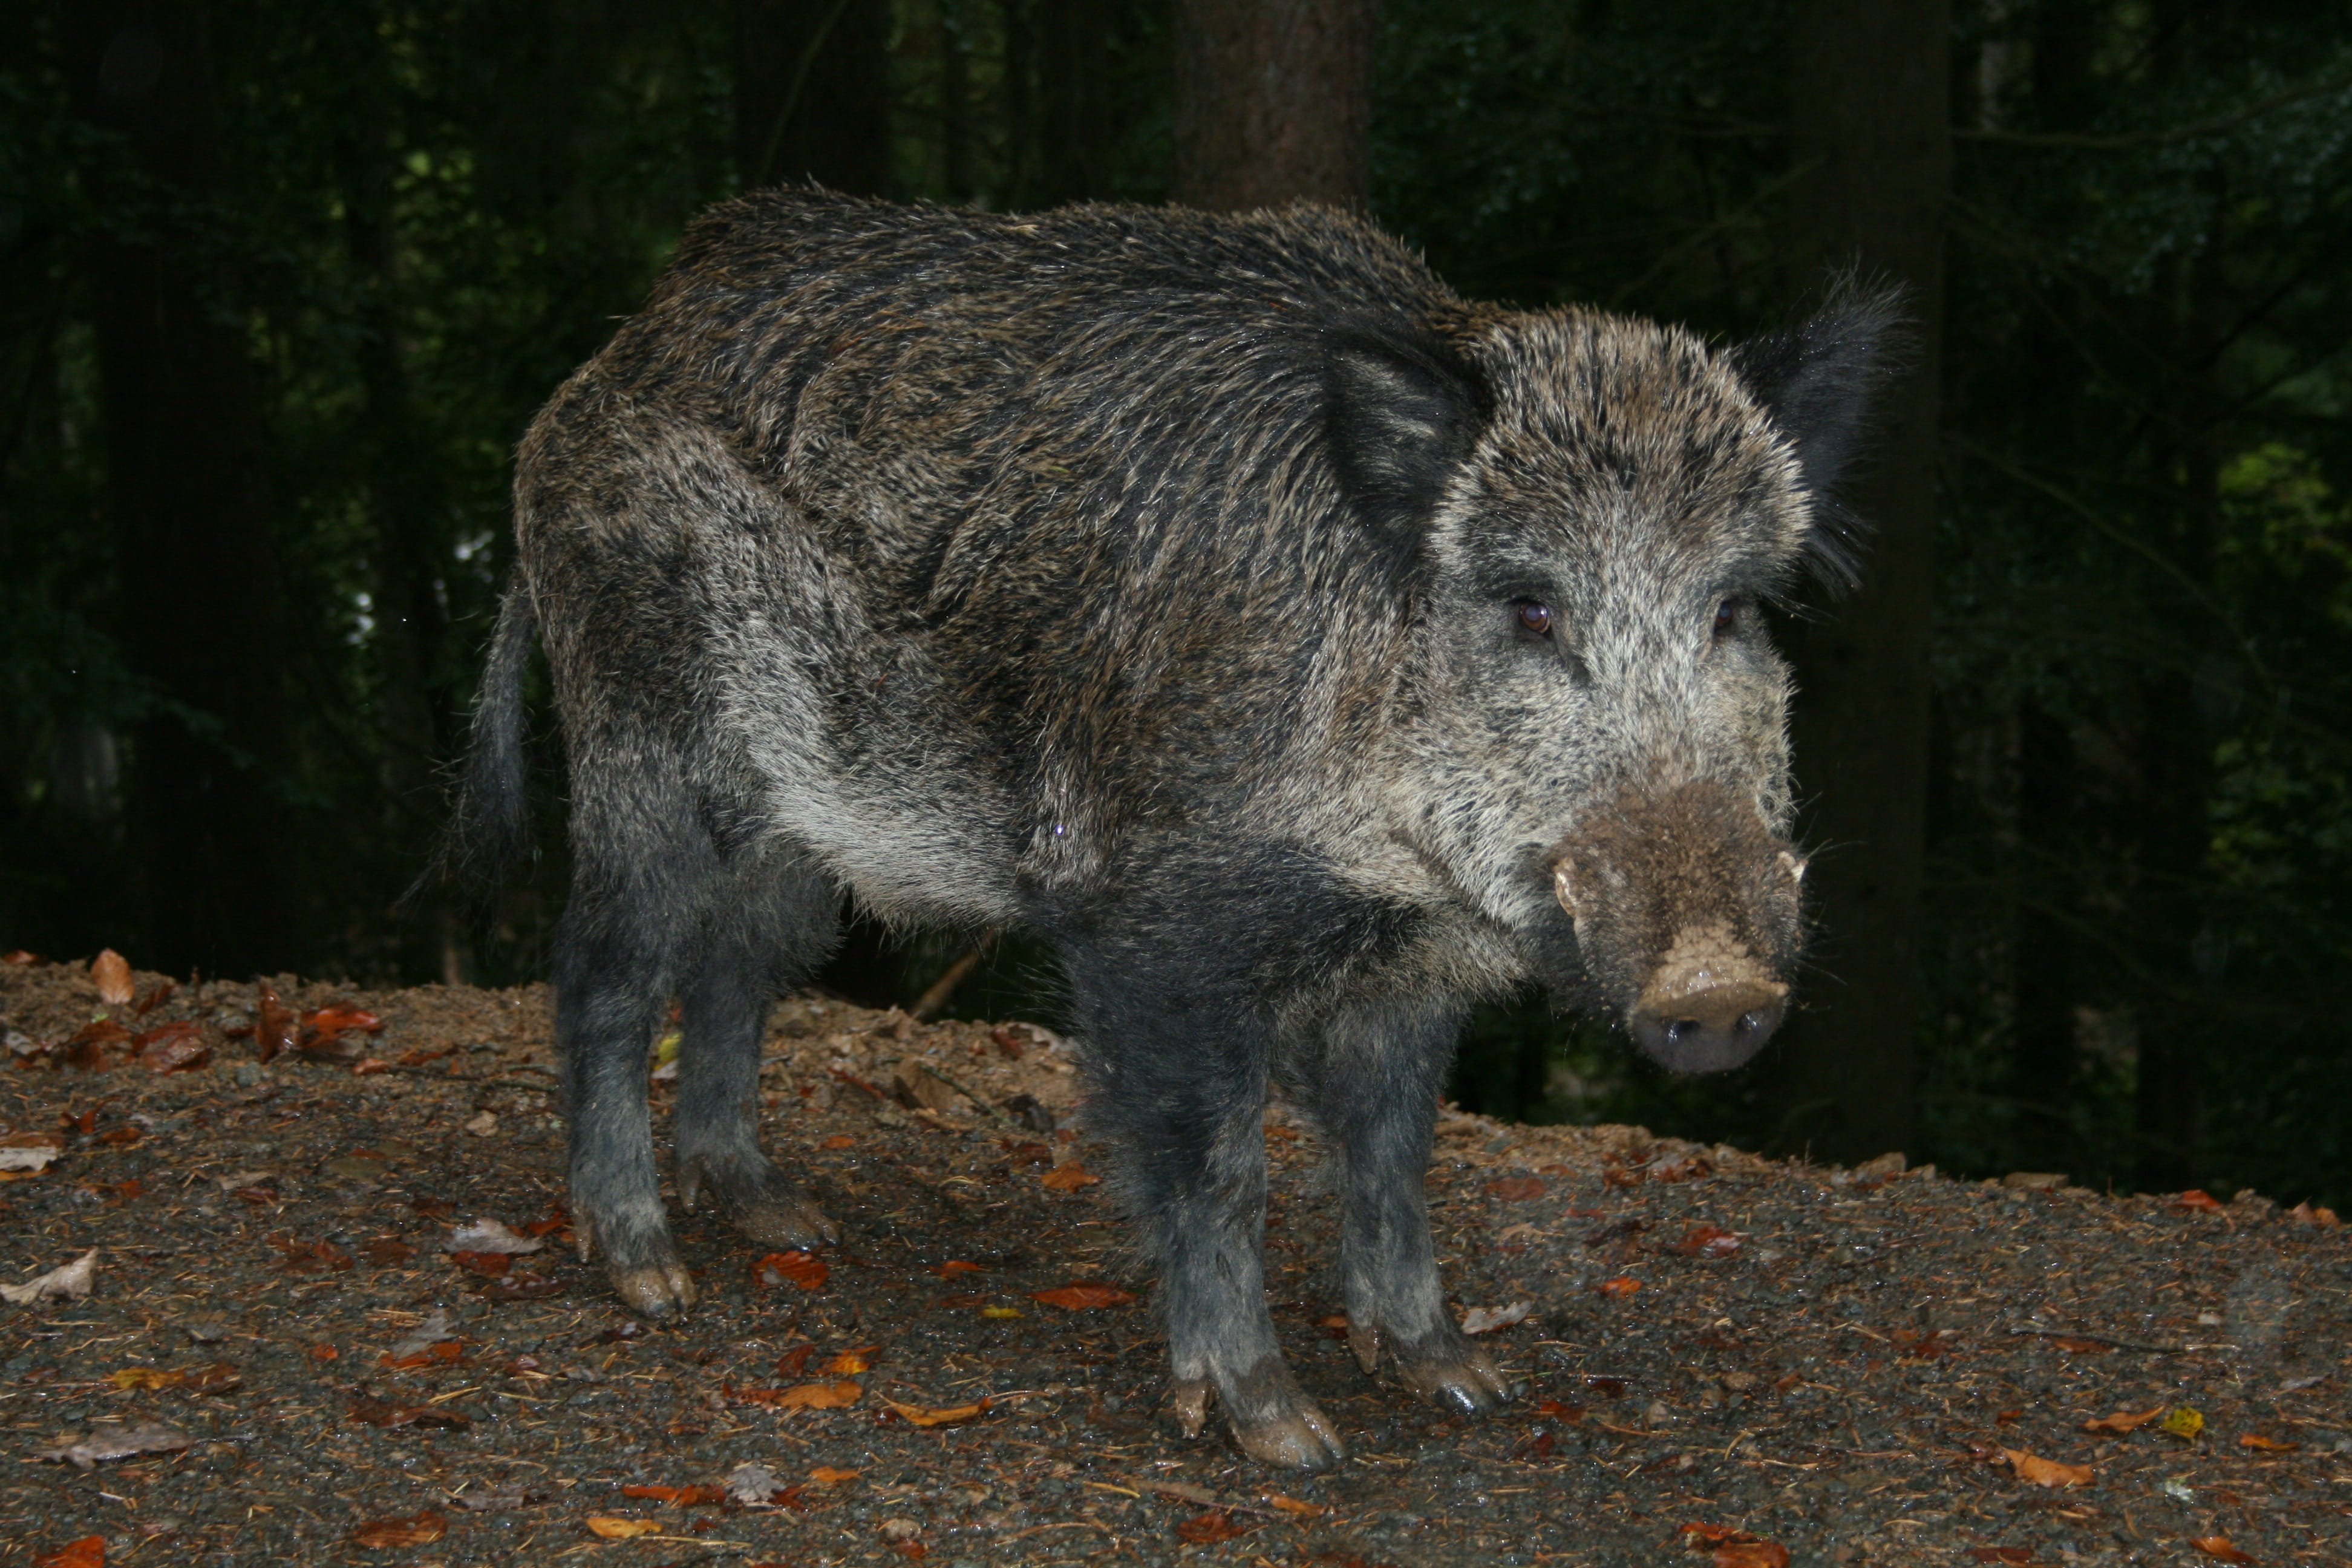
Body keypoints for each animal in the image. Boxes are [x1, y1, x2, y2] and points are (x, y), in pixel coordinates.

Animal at [440, 190, 1894, 1468]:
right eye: (1531, 606)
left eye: (1733, 609)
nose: (1715, 989)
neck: (1390, 859)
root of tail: (601, 369)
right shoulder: (1158, 926)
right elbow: (1219, 1166)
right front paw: (1286, 1435)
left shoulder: (1411, 967)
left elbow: (1396, 1153)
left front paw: (1458, 1379)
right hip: (642, 732)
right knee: (607, 968)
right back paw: (650, 1276)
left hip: (803, 837)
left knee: (740, 968)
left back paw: (790, 1221)